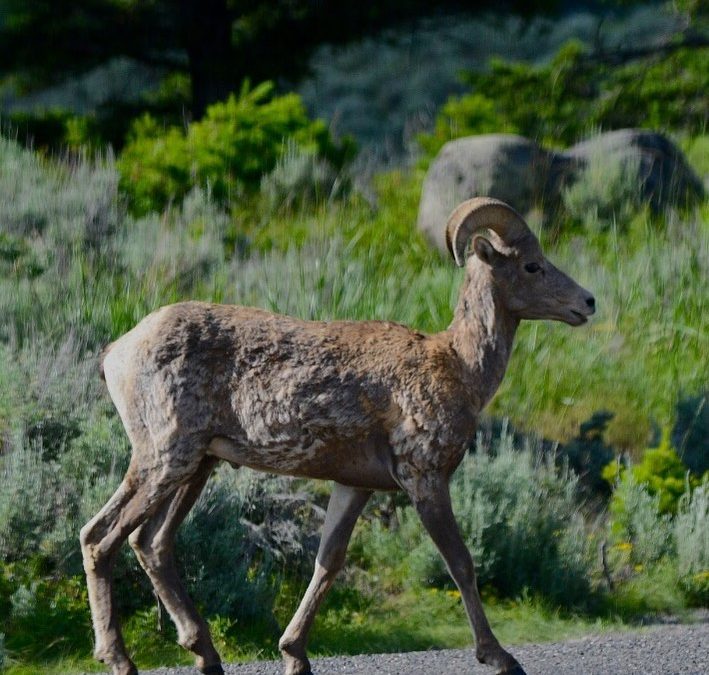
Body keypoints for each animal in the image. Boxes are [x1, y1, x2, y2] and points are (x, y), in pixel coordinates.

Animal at [80, 197, 595, 675]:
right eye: (532, 265)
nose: (587, 303)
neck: (458, 365)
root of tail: (117, 352)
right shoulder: (425, 479)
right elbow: (461, 563)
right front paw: (500, 657)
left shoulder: (355, 486)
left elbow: (327, 563)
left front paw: (295, 656)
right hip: (165, 459)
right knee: (100, 538)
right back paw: (120, 659)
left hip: (196, 467)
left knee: (152, 543)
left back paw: (205, 655)